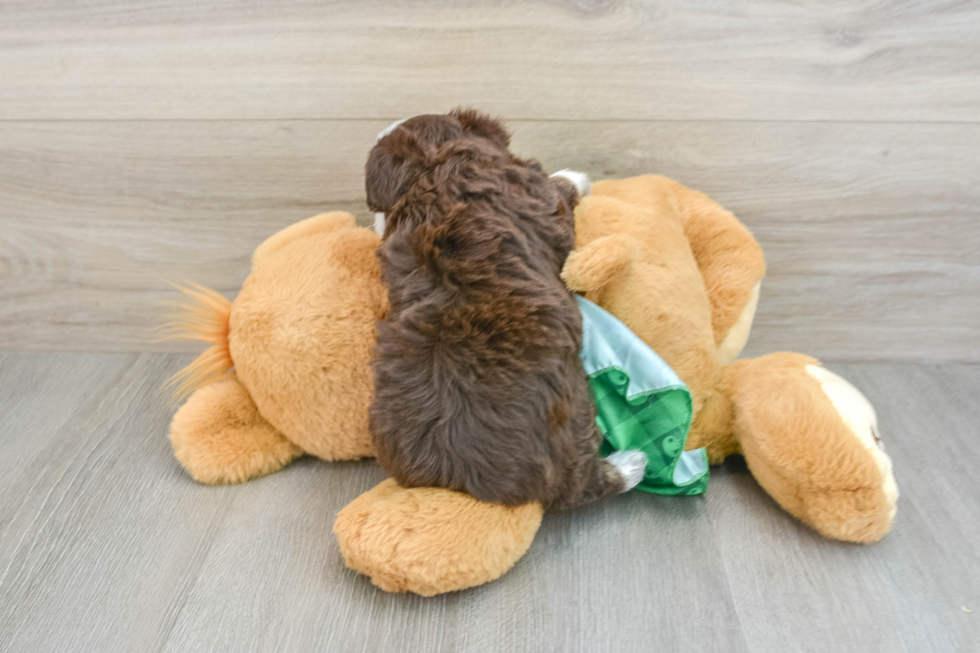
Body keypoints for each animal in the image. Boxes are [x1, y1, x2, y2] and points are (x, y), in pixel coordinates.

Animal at [364, 109, 648, 510]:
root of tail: (466, 479)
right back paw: (630, 464)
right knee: (583, 485)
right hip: (575, 425)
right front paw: (578, 177)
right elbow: (562, 188)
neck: (432, 168)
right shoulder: (542, 197)